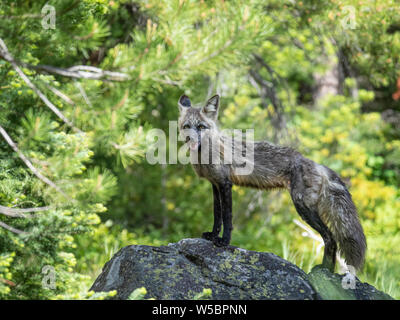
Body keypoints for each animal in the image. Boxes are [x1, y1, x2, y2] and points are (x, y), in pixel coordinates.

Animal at [179, 93, 368, 272]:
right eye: (186, 126)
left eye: (201, 127)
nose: (192, 140)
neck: (205, 156)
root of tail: (316, 164)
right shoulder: (215, 184)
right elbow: (217, 216)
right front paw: (212, 235)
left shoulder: (225, 184)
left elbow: (227, 217)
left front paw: (224, 241)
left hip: (303, 206)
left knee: (330, 238)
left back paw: (324, 273)